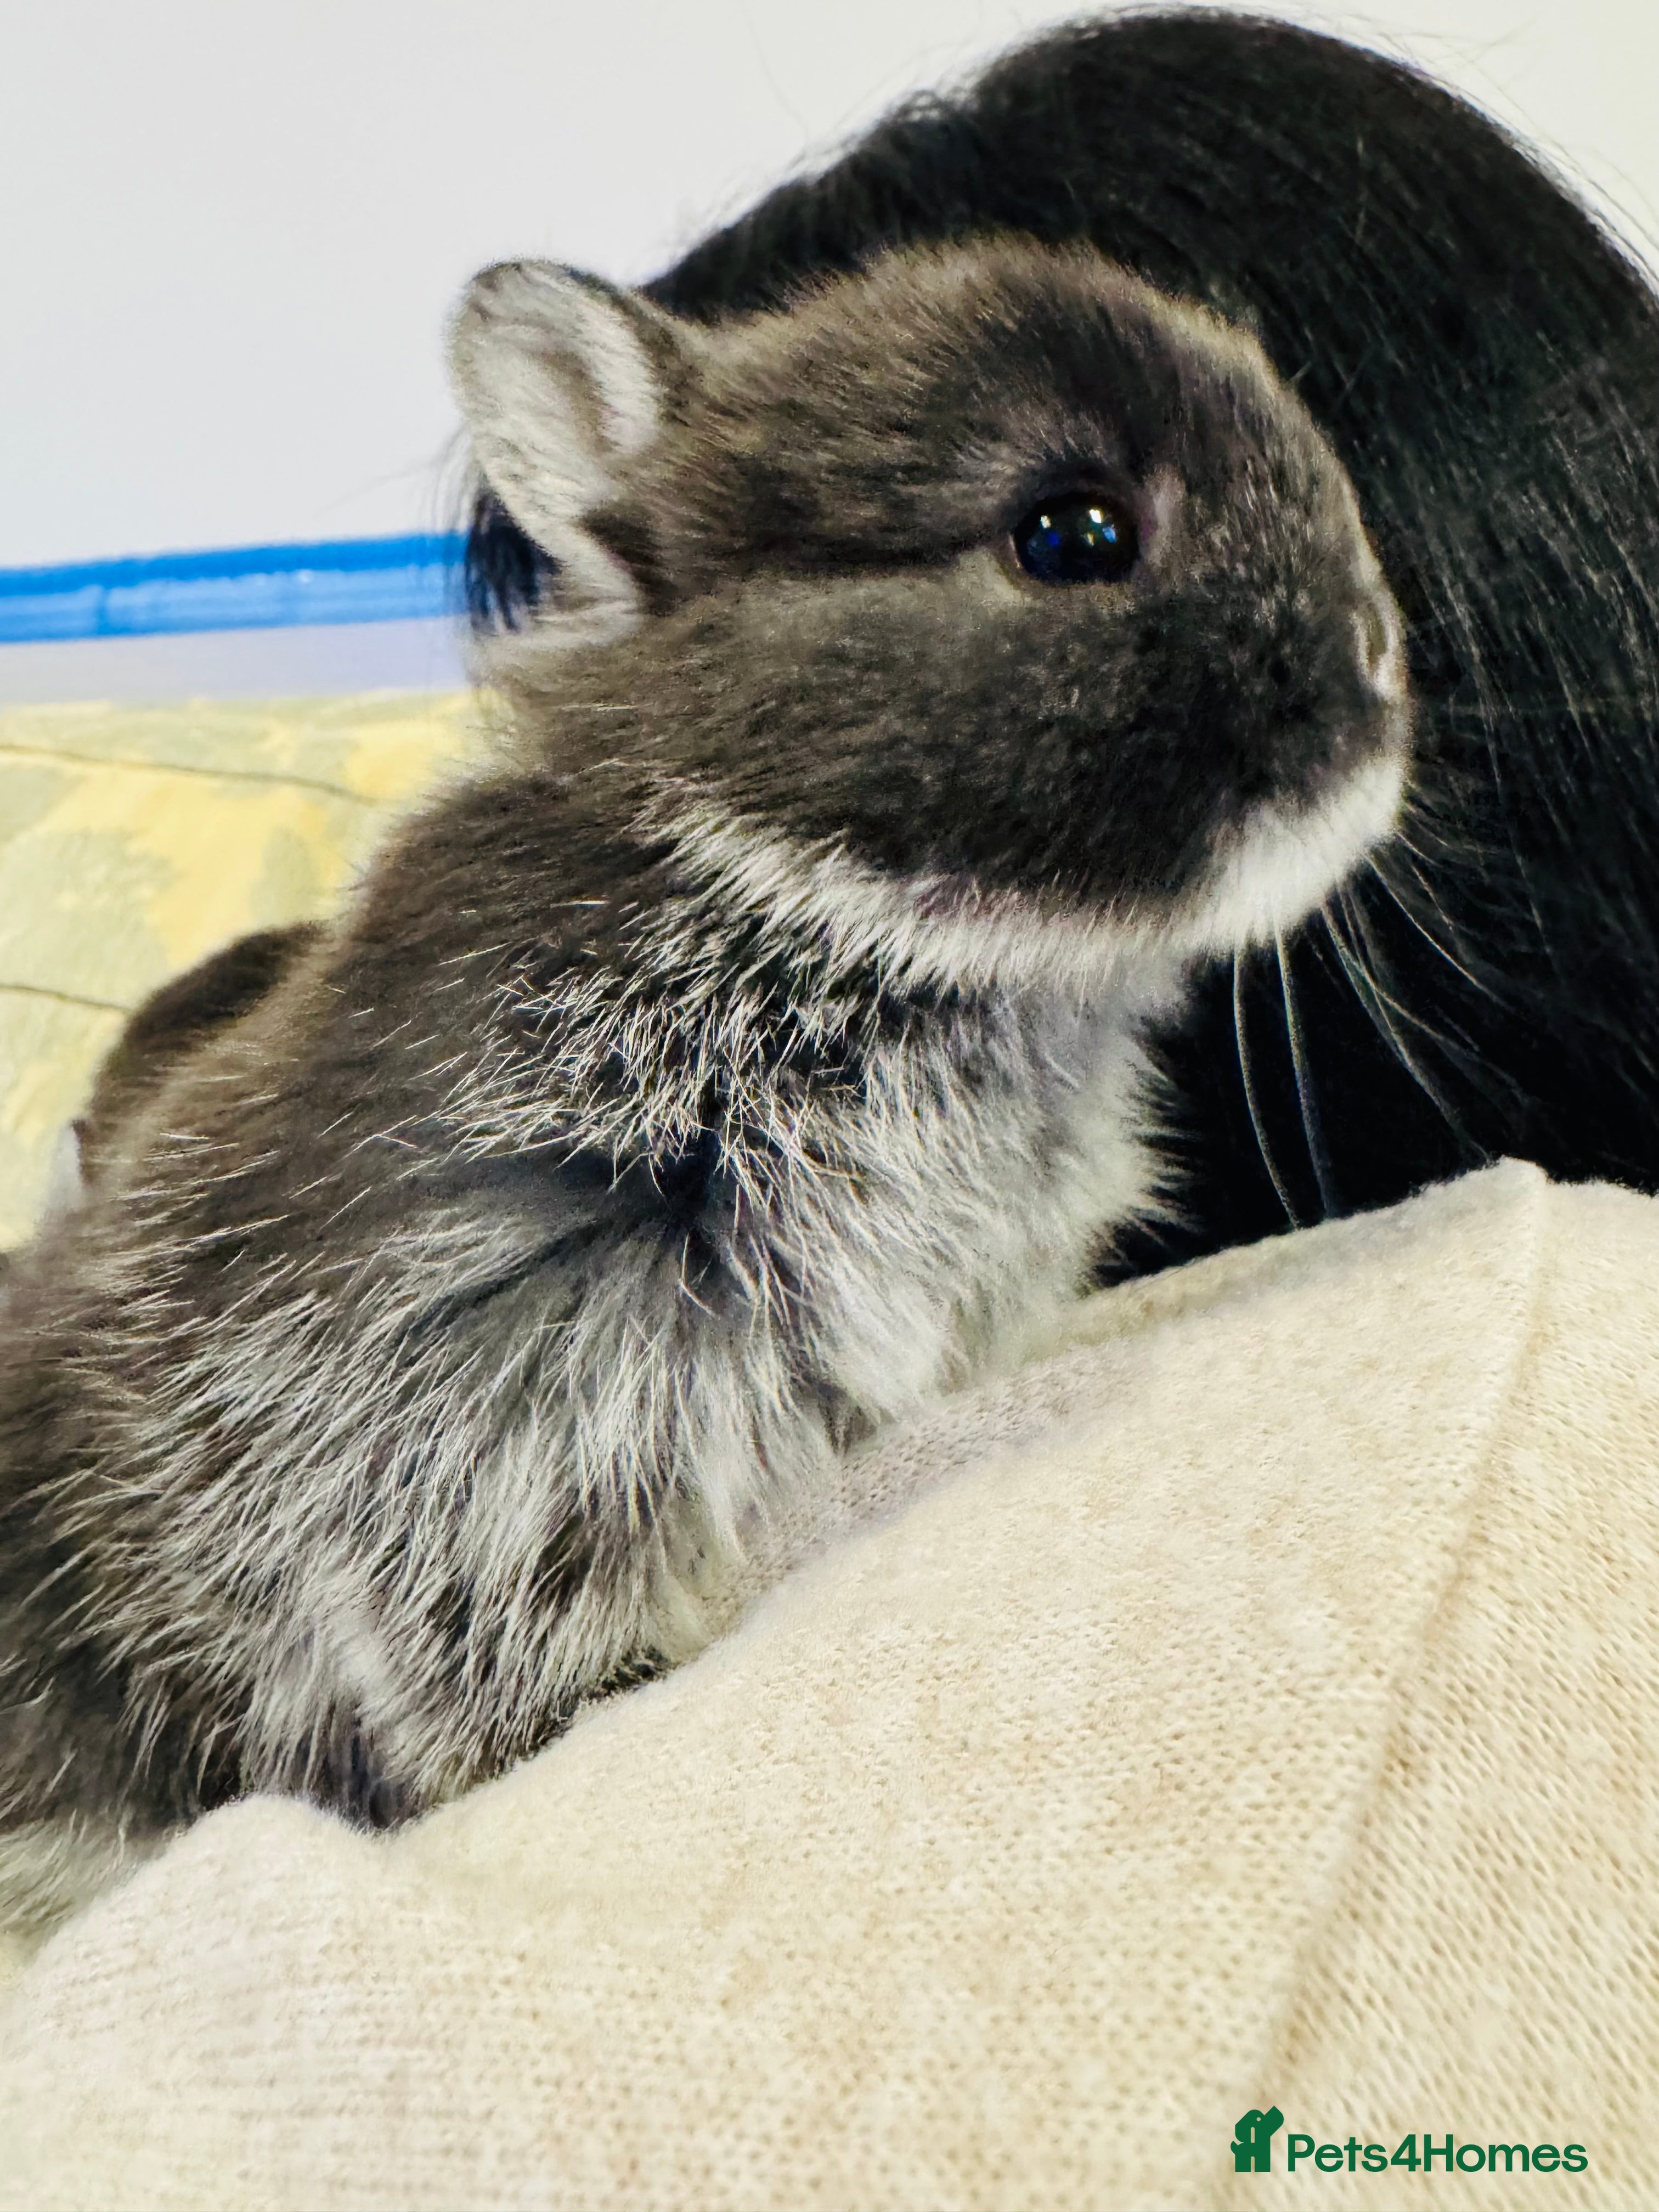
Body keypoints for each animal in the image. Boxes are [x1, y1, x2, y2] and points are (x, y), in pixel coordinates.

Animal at [0, 236, 1410, 1932]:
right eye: (1073, 534)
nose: (1383, 666)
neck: (802, 907)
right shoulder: (433, 1373)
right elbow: (440, 1627)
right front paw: (569, 1729)